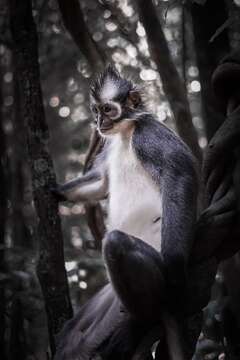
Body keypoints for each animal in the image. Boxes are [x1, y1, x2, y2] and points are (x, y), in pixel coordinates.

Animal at [54, 65, 199, 360]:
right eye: (96, 111)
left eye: (108, 109)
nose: (99, 122)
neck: (126, 131)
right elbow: (102, 182)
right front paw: (53, 193)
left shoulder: (149, 134)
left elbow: (180, 174)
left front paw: (177, 272)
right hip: (110, 295)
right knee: (72, 337)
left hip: (154, 271)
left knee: (116, 244)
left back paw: (141, 322)